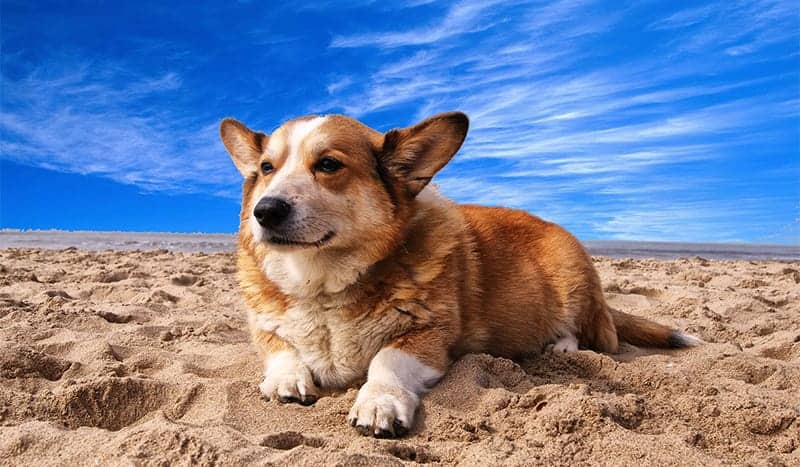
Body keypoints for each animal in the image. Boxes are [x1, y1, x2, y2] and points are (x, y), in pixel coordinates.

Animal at [220, 110, 700, 438]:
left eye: (328, 165)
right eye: (266, 169)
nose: (265, 212)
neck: (321, 281)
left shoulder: (428, 338)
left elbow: (385, 360)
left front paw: (378, 403)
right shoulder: (265, 326)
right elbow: (282, 349)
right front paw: (286, 379)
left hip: (571, 278)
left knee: (583, 330)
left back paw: (561, 348)